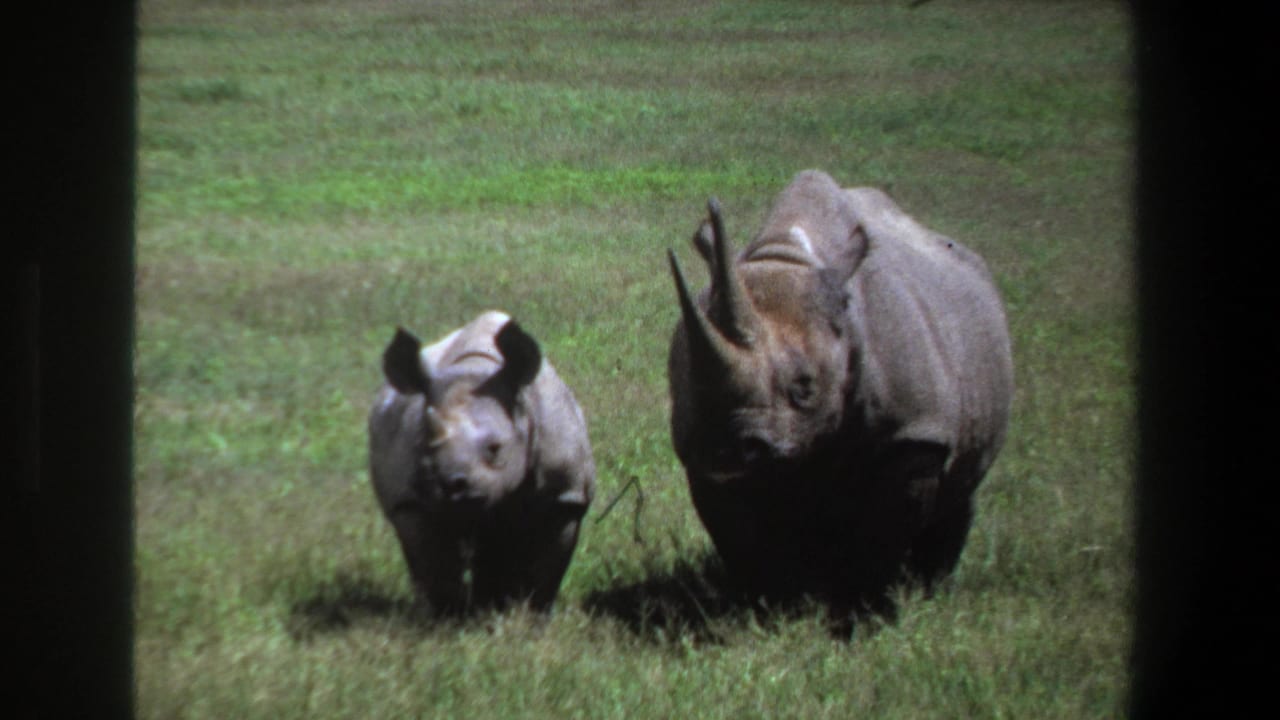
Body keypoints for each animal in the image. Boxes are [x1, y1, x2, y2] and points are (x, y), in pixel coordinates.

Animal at [368, 311, 595, 614]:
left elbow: (546, 569)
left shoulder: (564, 496)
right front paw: (448, 618)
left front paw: (534, 616)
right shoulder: (409, 502)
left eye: (495, 448)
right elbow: (433, 567)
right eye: (426, 446)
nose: (451, 485)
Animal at [666, 170, 1013, 611]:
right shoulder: (701, 452)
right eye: (694, 385)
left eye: (805, 387)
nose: (728, 451)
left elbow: (885, 532)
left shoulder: (914, 434)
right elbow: (741, 536)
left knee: (960, 488)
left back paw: (930, 589)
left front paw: (867, 608)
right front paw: (773, 605)